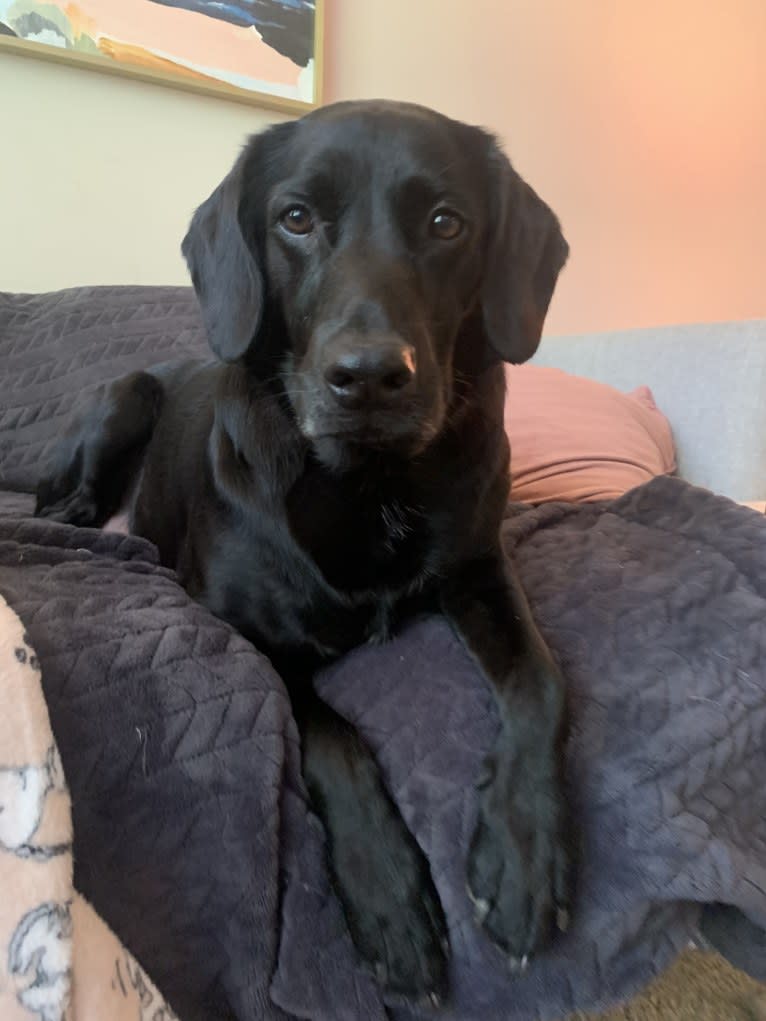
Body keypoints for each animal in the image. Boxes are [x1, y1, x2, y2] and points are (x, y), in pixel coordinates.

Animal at [37, 97, 576, 1004]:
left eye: (446, 222)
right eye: (295, 218)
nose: (369, 376)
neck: (370, 480)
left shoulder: (479, 566)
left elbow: (541, 682)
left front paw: (524, 859)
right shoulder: (237, 625)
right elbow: (331, 733)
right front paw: (390, 901)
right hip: (127, 394)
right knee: (67, 493)